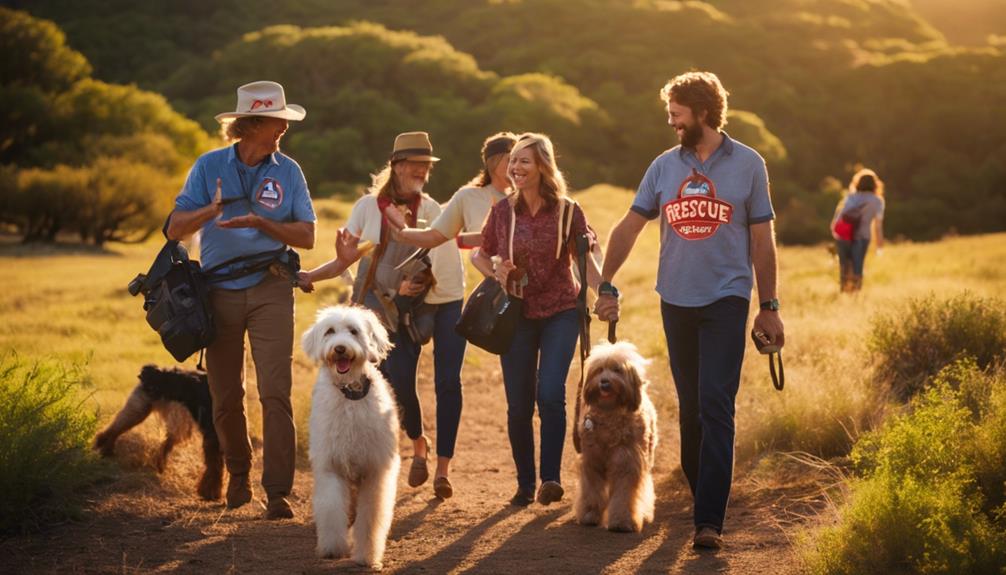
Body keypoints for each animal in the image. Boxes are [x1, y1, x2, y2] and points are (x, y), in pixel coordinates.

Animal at [93, 365, 224, 500]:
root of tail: (154, 371)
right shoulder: (213, 434)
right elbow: (215, 465)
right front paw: (211, 491)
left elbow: (216, 464)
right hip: (142, 411)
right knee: (115, 429)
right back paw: (104, 446)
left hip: (168, 420)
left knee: (162, 444)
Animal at [301, 307, 400, 566]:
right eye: (329, 331)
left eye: (354, 331)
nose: (340, 348)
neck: (350, 395)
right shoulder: (331, 466)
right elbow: (332, 509)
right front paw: (333, 548)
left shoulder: (375, 472)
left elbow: (371, 519)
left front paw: (367, 555)